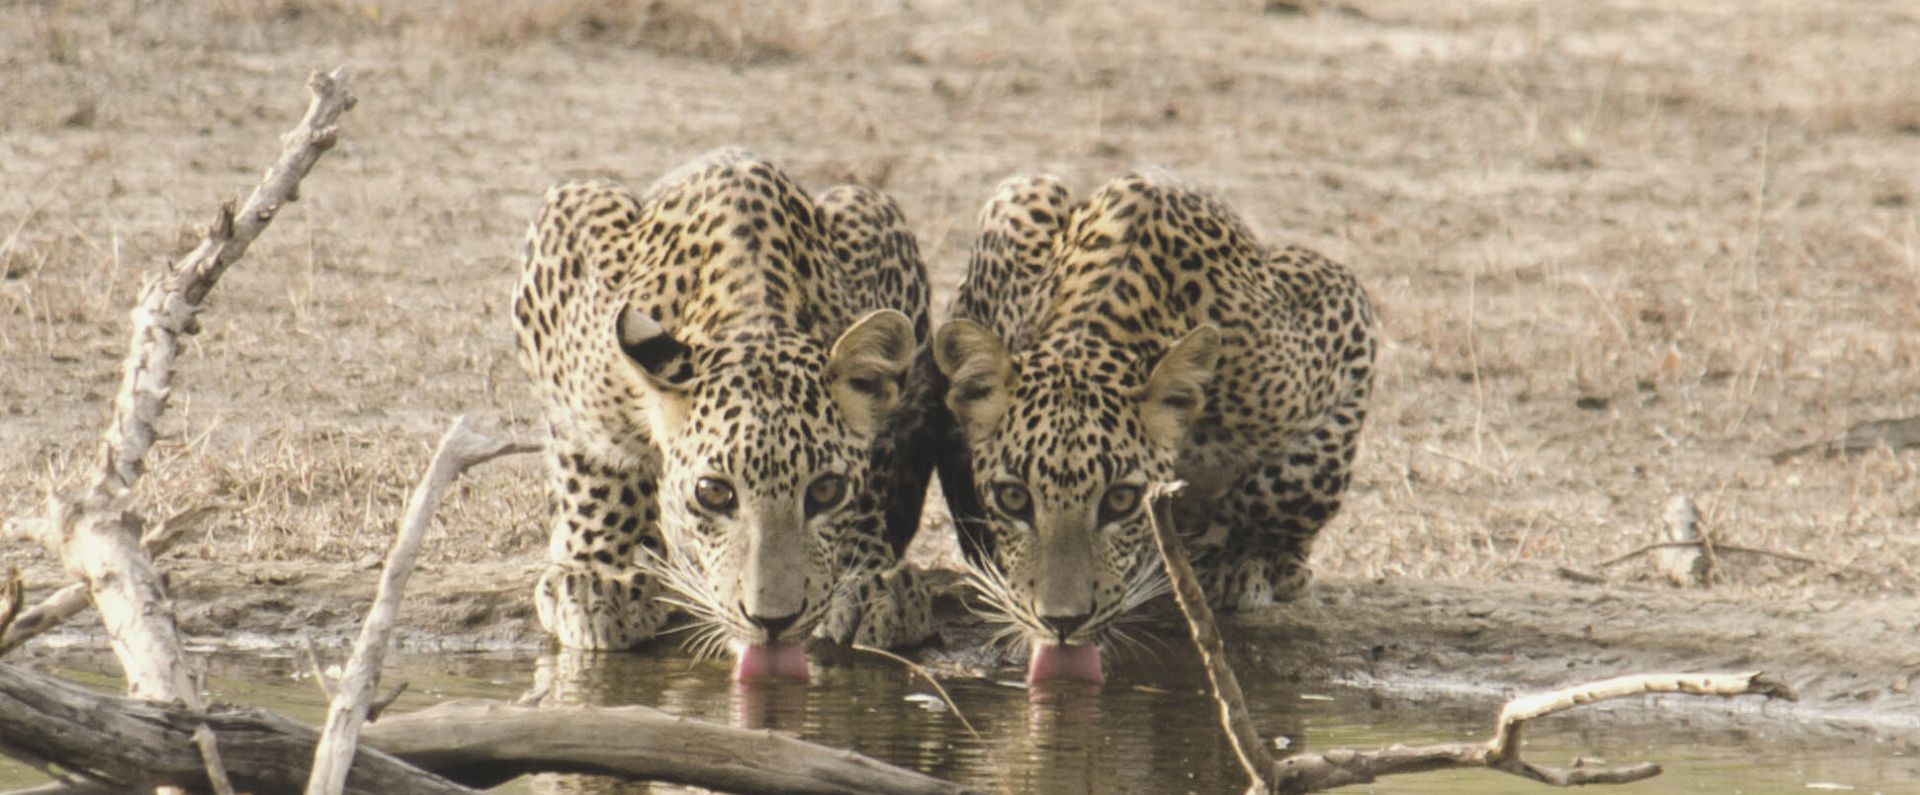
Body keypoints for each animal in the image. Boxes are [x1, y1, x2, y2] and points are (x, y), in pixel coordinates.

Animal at [510, 147, 929, 675]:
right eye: (713, 493)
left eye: (826, 491)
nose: (772, 621)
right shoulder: (566, 236)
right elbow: (593, 458)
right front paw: (602, 577)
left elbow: (877, 460)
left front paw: (873, 575)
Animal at [921, 168, 1374, 683]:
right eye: (1013, 497)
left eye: (1121, 501)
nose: (1062, 622)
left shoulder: (1341, 311)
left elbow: (1298, 481)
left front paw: (1245, 561)